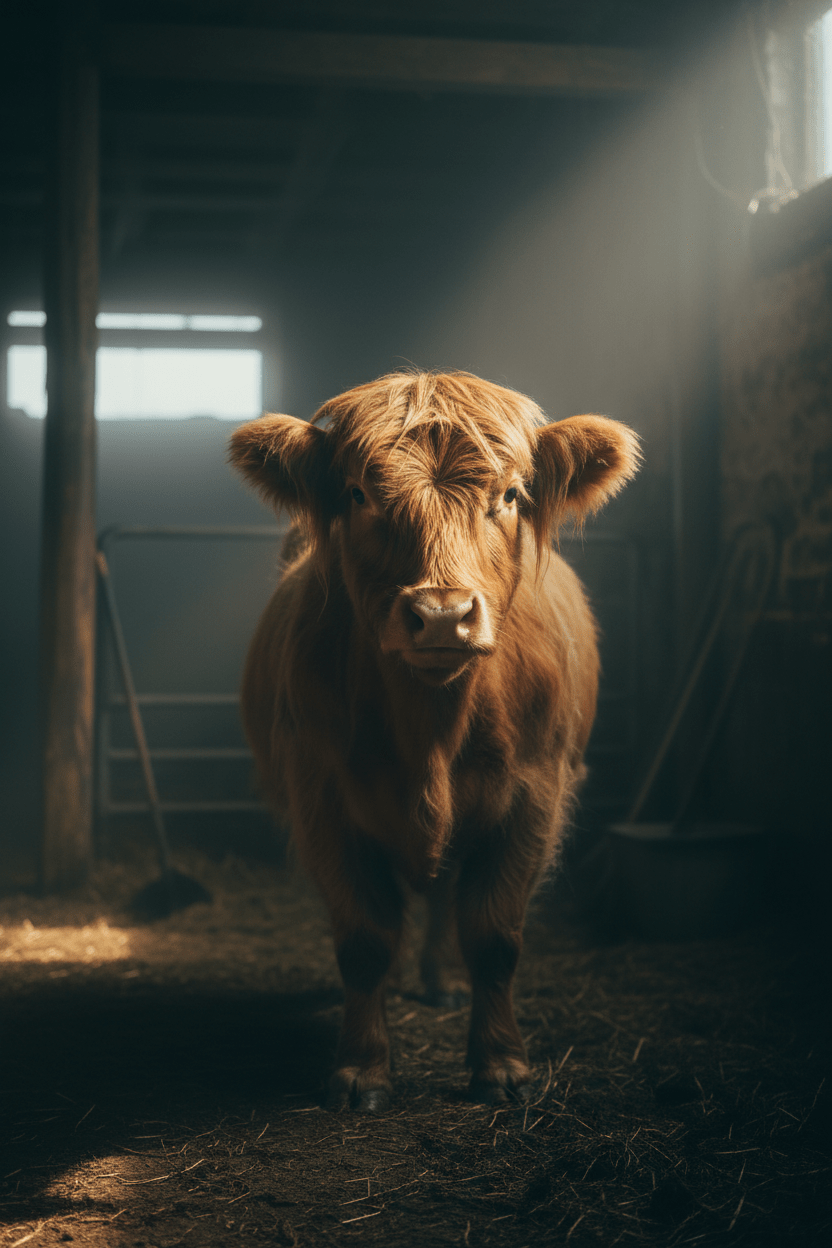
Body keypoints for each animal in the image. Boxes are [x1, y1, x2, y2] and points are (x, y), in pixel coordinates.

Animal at [229, 371, 639, 1112]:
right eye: (359, 493)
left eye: (510, 495)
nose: (443, 615)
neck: (431, 733)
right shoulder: (321, 795)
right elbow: (363, 935)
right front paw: (362, 1069)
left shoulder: (534, 793)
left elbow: (495, 934)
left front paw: (501, 1066)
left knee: (446, 896)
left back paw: (440, 982)